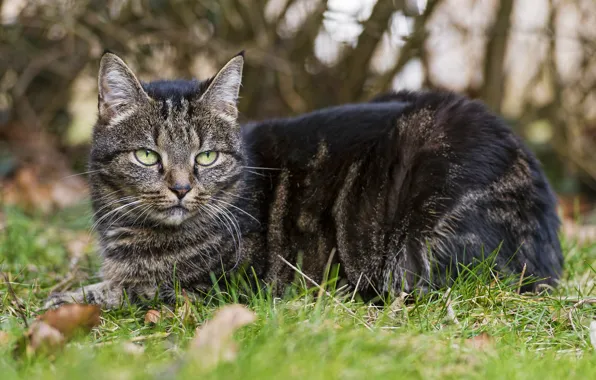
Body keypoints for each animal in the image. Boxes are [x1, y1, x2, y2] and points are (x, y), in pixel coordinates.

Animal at [44, 51, 560, 308]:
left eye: (206, 156)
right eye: (147, 155)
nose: (181, 187)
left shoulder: (222, 286)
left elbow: (128, 290)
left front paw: (61, 300)